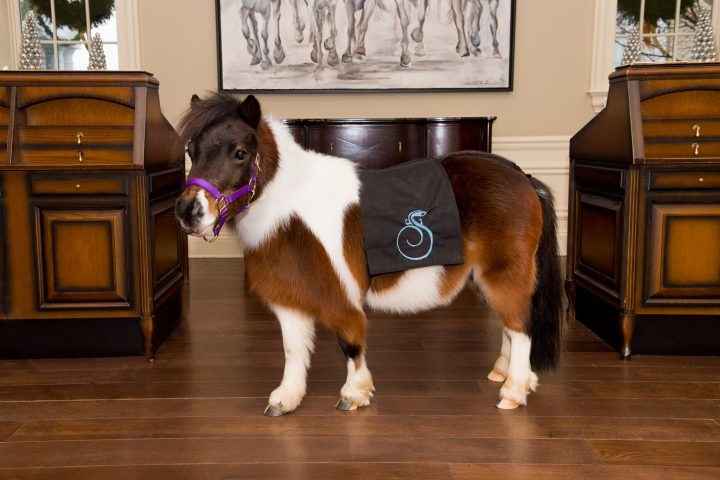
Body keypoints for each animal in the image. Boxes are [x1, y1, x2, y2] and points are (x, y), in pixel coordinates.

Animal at [175, 93, 564, 416]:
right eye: (191, 151)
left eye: (240, 153)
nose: (188, 211)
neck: (292, 210)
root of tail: (524, 178)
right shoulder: (289, 296)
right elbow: (293, 349)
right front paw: (287, 398)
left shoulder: (340, 294)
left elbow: (349, 340)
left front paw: (354, 394)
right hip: (488, 277)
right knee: (511, 327)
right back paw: (506, 374)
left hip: (505, 273)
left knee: (520, 326)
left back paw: (514, 391)